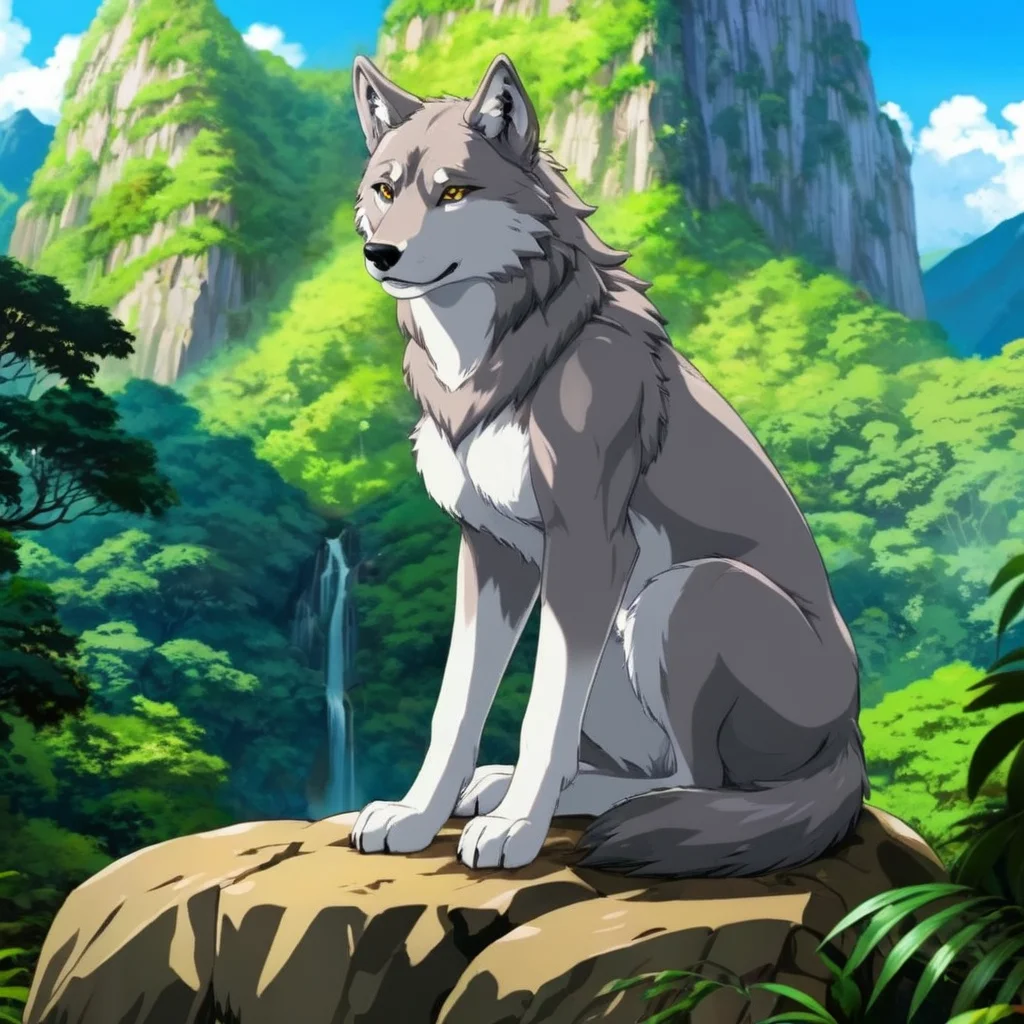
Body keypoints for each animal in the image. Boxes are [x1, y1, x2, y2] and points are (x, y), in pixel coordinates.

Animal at [347, 51, 869, 876]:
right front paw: (415, 814)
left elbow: (542, 713)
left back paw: (564, 805)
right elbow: (455, 704)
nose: (380, 255)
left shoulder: (589, 546)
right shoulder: (492, 553)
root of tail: (849, 739)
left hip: (682, 594)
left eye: (454, 191)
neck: (495, 361)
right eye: (385, 189)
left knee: (695, 781)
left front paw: (517, 831)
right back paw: (503, 786)